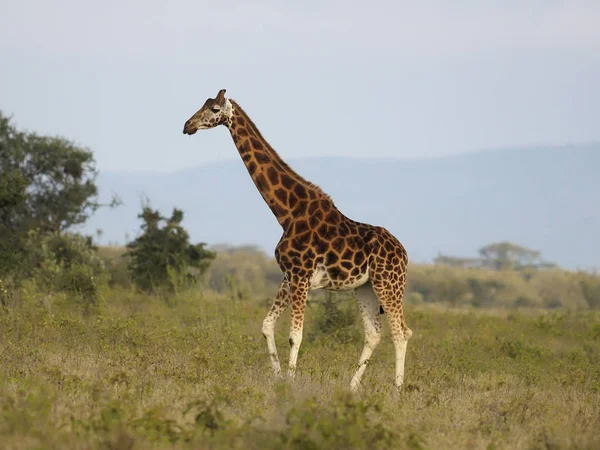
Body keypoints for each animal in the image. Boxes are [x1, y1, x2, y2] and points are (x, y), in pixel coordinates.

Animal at [180, 89, 412, 390]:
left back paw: (397, 391)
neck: (287, 212)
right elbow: (266, 326)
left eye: (214, 109)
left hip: (389, 284)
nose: (187, 125)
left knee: (402, 333)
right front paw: (278, 378)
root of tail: (404, 253)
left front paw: (290, 384)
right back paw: (352, 388)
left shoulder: (301, 276)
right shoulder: (288, 275)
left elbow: (295, 335)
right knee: (374, 333)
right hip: (364, 288)